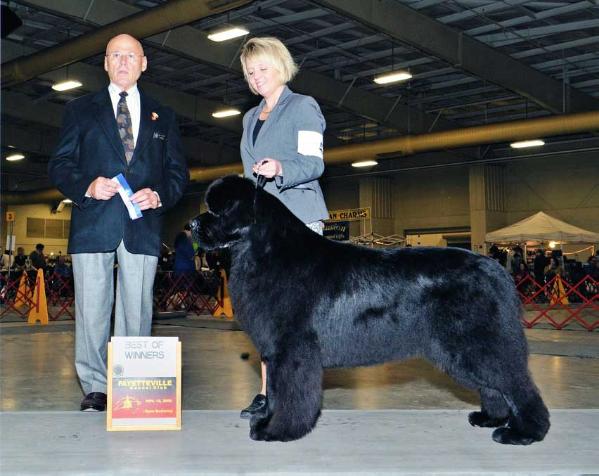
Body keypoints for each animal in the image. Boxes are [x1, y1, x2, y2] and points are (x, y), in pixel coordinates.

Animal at [192, 176, 548, 446]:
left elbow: (291, 394)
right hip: (461, 349)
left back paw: (524, 432)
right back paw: (490, 417)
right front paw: (266, 420)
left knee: (516, 383)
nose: (194, 223)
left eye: (218, 209)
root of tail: (495, 269)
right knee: (494, 384)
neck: (266, 251)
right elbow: (277, 392)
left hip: (477, 341)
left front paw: (277, 431)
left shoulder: (292, 350)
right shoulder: (278, 352)